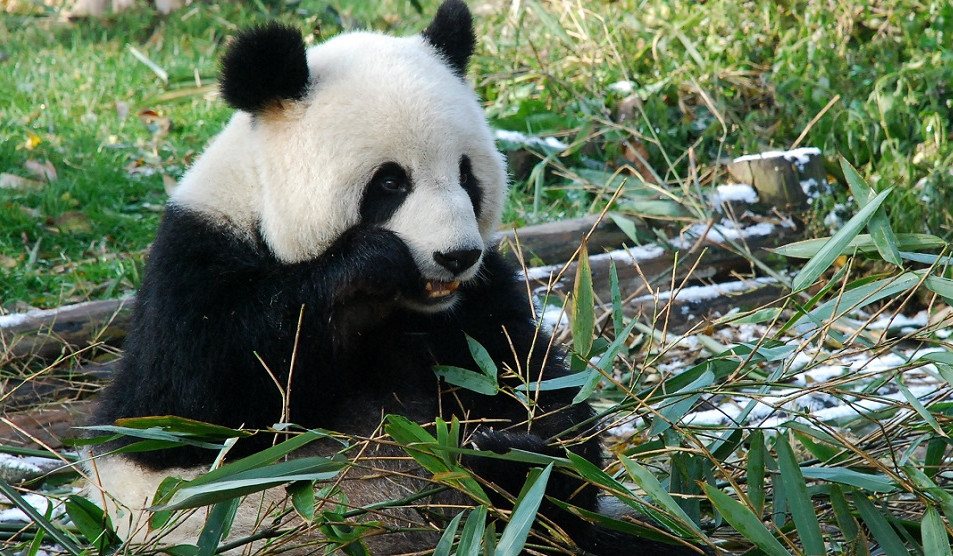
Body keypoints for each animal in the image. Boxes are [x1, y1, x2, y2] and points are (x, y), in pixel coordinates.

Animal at [85, 2, 700, 552]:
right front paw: (367, 263)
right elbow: (187, 408)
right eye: (389, 182)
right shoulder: (193, 266)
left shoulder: (479, 304)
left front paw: (517, 454)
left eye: (466, 174)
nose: (456, 256)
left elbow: (535, 390)